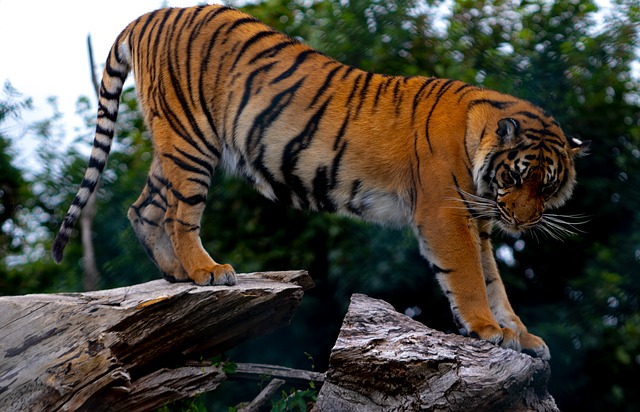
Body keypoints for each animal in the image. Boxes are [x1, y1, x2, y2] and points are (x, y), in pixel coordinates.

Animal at [52, 3, 588, 358]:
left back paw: (178, 275)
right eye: (517, 175)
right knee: (178, 213)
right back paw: (207, 272)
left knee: (143, 208)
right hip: (190, 141)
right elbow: (470, 278)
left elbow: (496, 283)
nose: (521, 222)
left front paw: (521, 336)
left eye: (546, 186)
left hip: (171, 143)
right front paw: (485, 328)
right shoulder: (446, 215)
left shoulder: (478, 221)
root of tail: (149, 16)